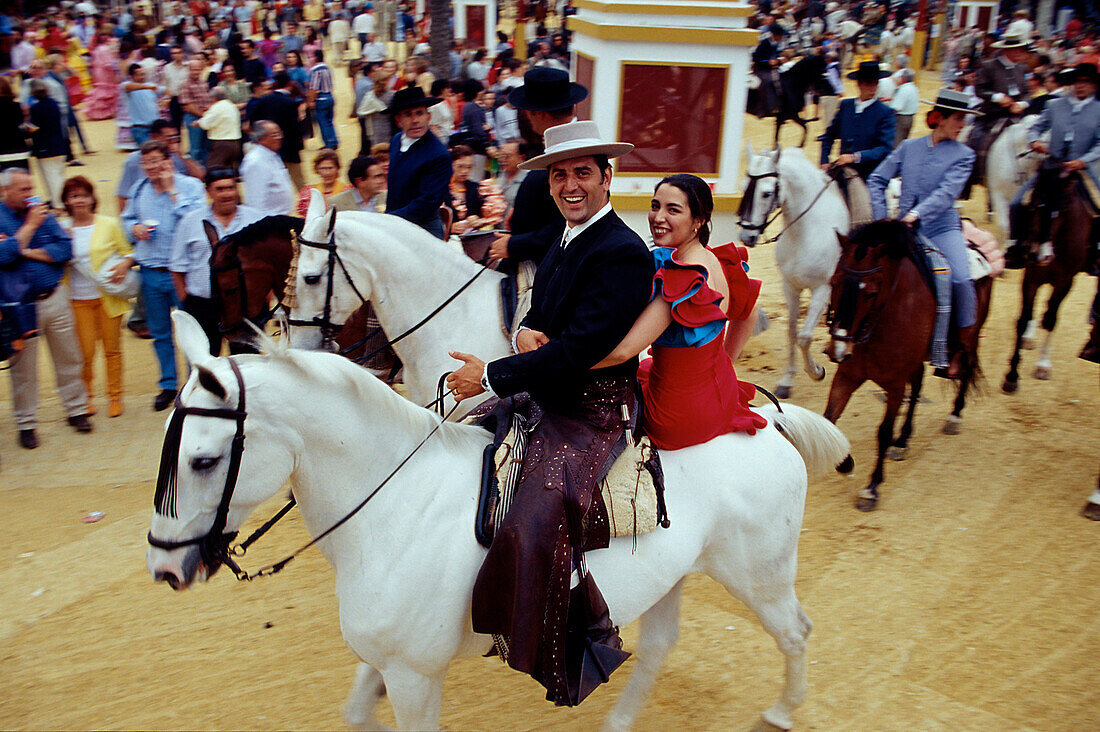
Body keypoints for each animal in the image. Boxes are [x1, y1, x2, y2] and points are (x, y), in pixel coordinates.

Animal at [146, 310, 849, 730]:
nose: (164, 567)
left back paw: (783, 710)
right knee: (656, 647)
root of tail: (761, 416)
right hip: (674, 576)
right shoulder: (384, 657)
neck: (392, 511)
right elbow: (355, 713)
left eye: (204, 460)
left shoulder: (413, 674)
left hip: (758, 574)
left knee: (798, 631)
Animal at [739, 145, 849, 400]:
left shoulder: (822, 289)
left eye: (767, 193)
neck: (805, 232)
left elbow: (804, 337)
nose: (747, 236)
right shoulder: (790, 286)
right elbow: (791, 333)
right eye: (744, 186)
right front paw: (787, 381)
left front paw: (816, 372)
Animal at [827, 220, 998, 510]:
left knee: (965, 368)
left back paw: (954, 416)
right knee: (918, 383)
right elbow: (829, 417)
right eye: (834, 282)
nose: (838, 350)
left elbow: (883, 432)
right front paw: (845, 462)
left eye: (871, 292)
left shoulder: (895, 385)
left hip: (971, 336)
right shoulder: (848, 375)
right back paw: (904, 439)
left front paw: (871, 488)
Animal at [1003, 167, 1095, 394]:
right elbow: (1023, 319)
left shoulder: (1065, 282)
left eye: (1063, 206)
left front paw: (1043, 366)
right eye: (1035, 202)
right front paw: (1011, 376)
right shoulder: (1031, 278)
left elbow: (1051, 319)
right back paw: (1028, 337)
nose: (1038, 255)